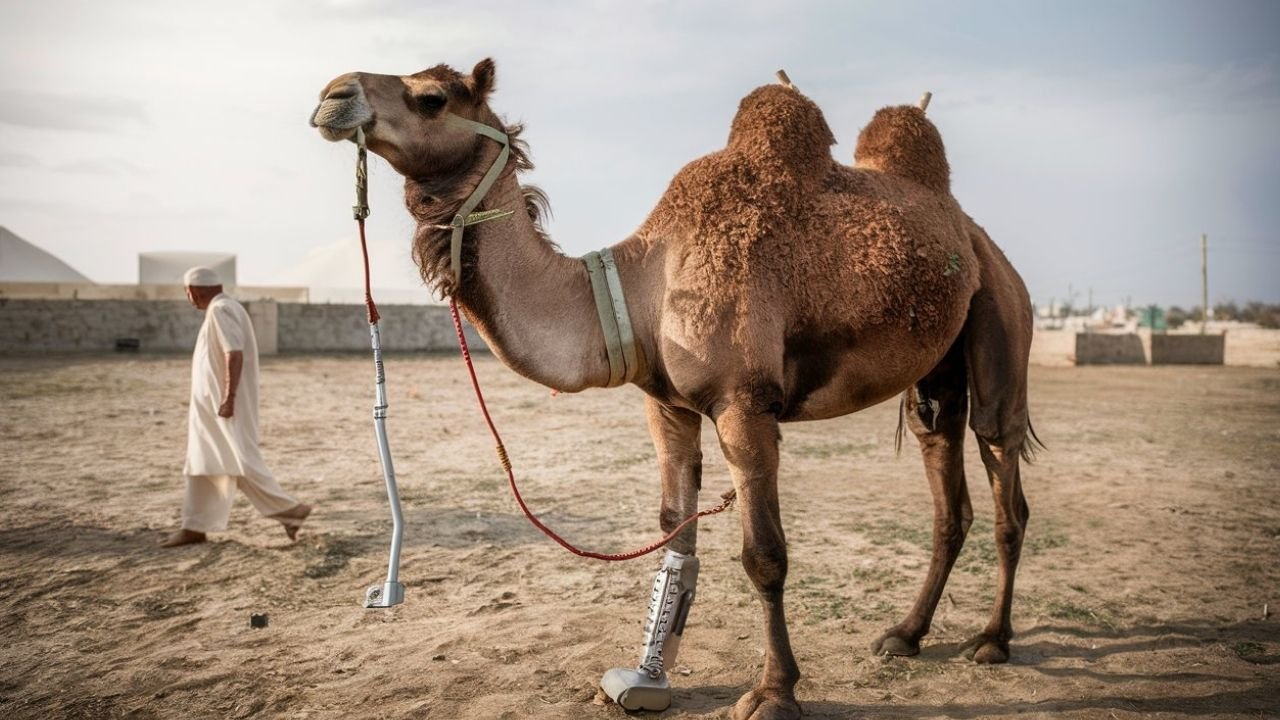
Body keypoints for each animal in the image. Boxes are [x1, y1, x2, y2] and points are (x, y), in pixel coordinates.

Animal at [311, 59, 1038, 720]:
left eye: (432, 96)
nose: (333, 93)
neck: (640, 287)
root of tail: (980, 240)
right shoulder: (667, 406)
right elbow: (674, 537)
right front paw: (647, 679)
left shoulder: (745, 406)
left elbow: (764, 556)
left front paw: (774, 694)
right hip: (933, 376)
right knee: (946, 491)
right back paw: (905, 635)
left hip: (1001, 319)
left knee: (1005, 482)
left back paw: (992, 642)